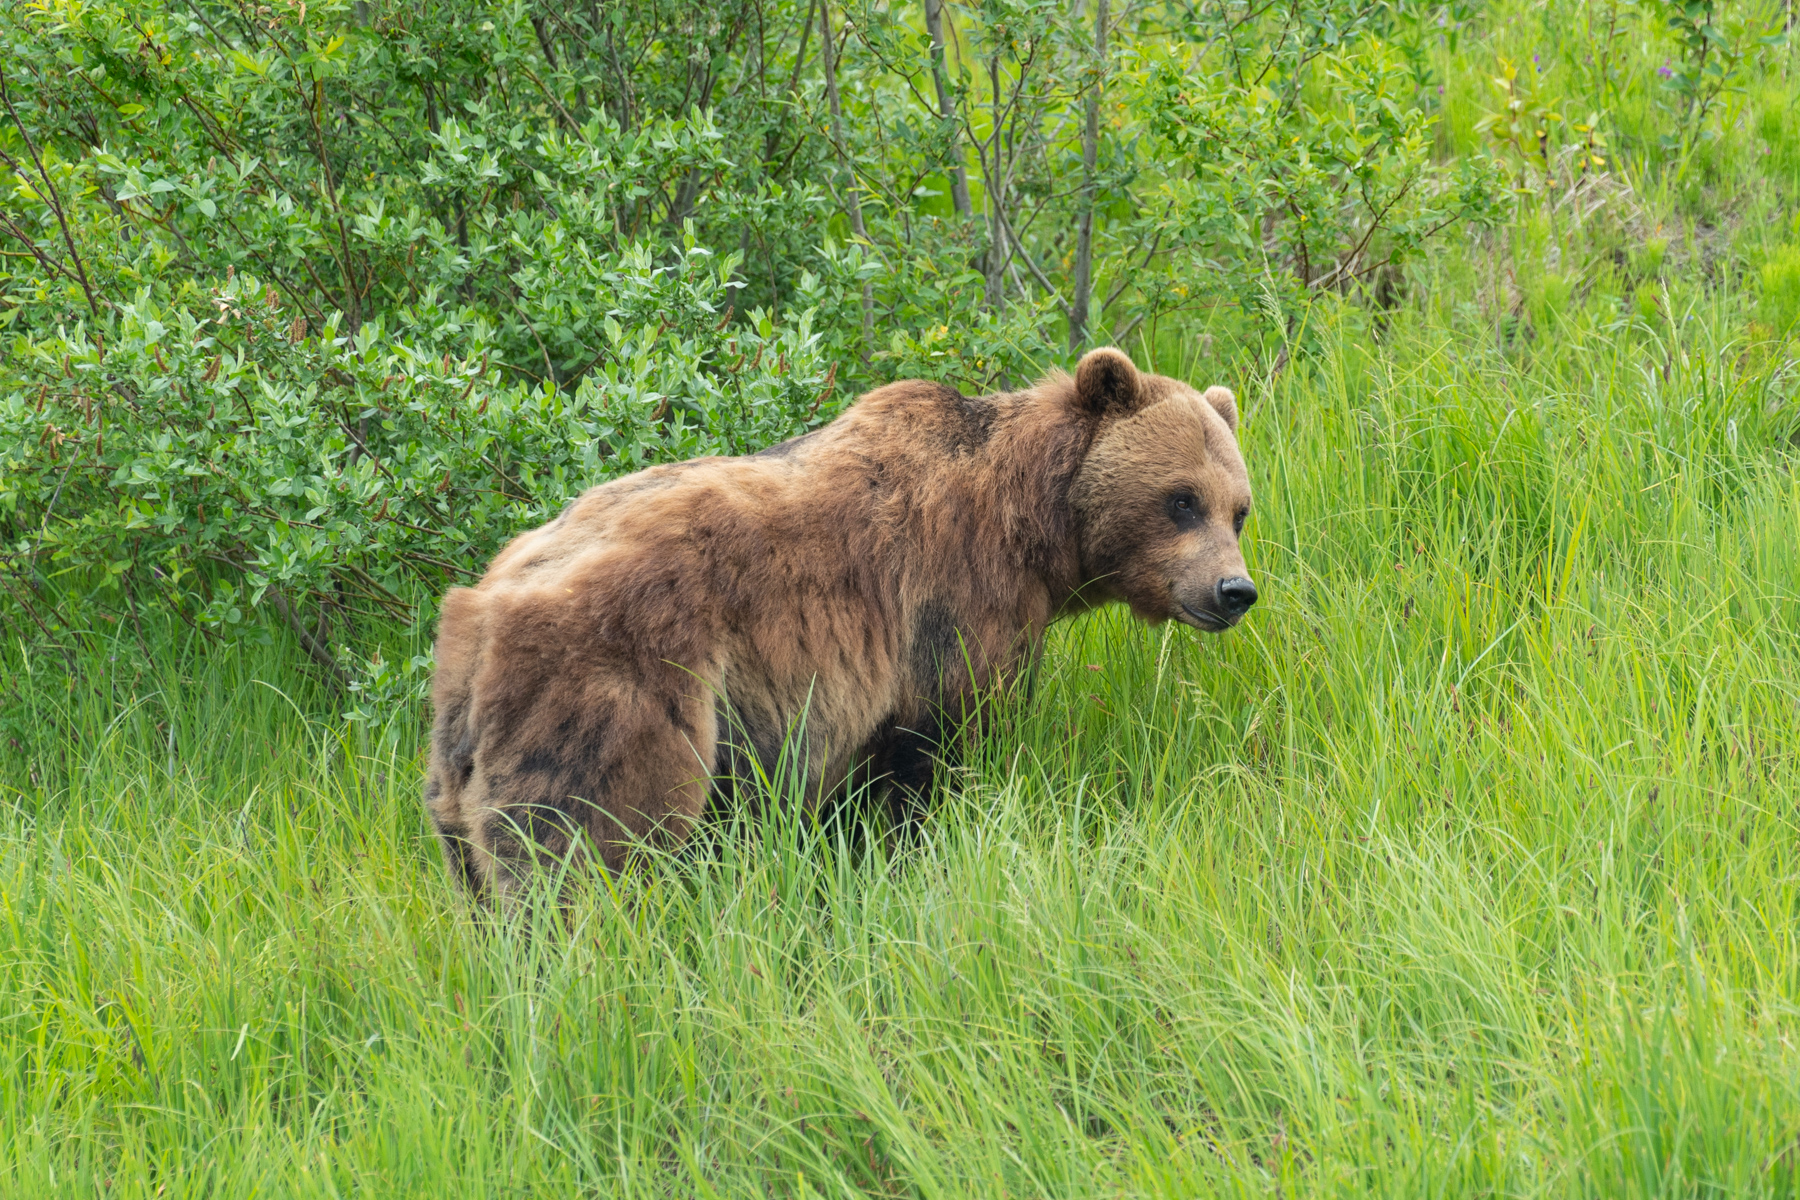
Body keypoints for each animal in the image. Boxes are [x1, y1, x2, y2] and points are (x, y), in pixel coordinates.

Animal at [424, 347, 1256, 904]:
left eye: (1239, 508)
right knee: (582, 848)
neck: (1034, 526)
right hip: (612, 692)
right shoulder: (947, 609)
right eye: (1181, 499)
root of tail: (479, 619)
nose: (1234, 589)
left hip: (453, 771)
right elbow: (933, 754)